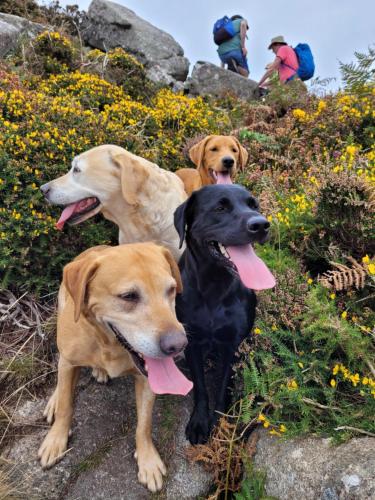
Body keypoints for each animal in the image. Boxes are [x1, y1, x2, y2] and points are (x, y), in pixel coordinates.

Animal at [38, 243, 192, 492]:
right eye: (128, 296)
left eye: (170, 290)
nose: (178, 346)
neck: (108, 344)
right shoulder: (70, 362)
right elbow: (65, 407)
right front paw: (56, 440)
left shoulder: (146, 379)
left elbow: (144, 424)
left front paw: (148, 460)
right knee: (61, 379)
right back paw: (55, 399)